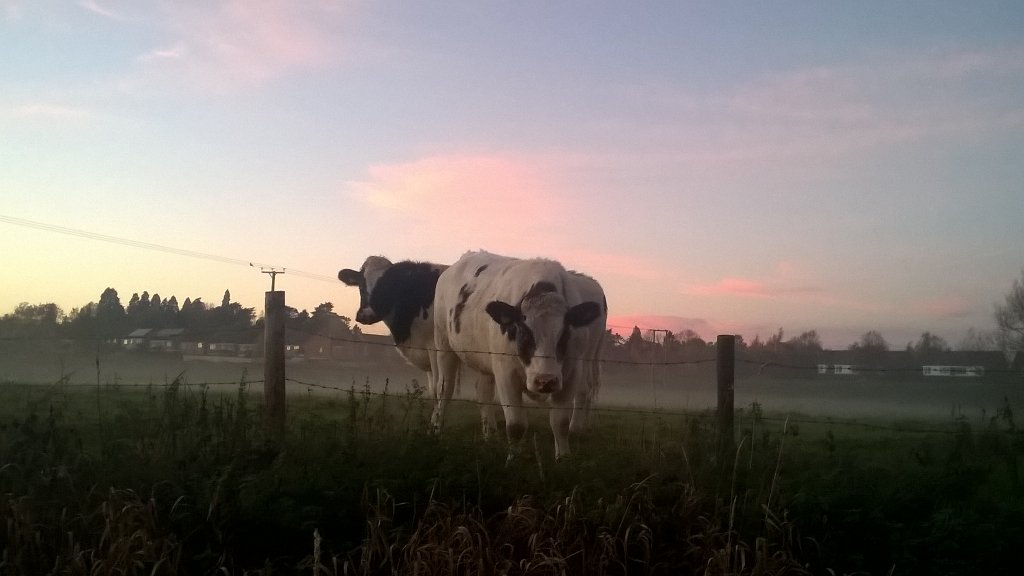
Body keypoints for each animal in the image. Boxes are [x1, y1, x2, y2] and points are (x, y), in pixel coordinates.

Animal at [431, 250, 602, 460]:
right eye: (525, 332)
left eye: (564, 334)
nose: (545, 381)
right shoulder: (506, 374)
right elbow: (516, 426)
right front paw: (513, 460)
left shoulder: (571, 373)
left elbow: (560, 422)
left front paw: (563, 458)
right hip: (443, 345)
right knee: (444, 390)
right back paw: (437, 431)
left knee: (483, 392)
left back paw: (490, 436)